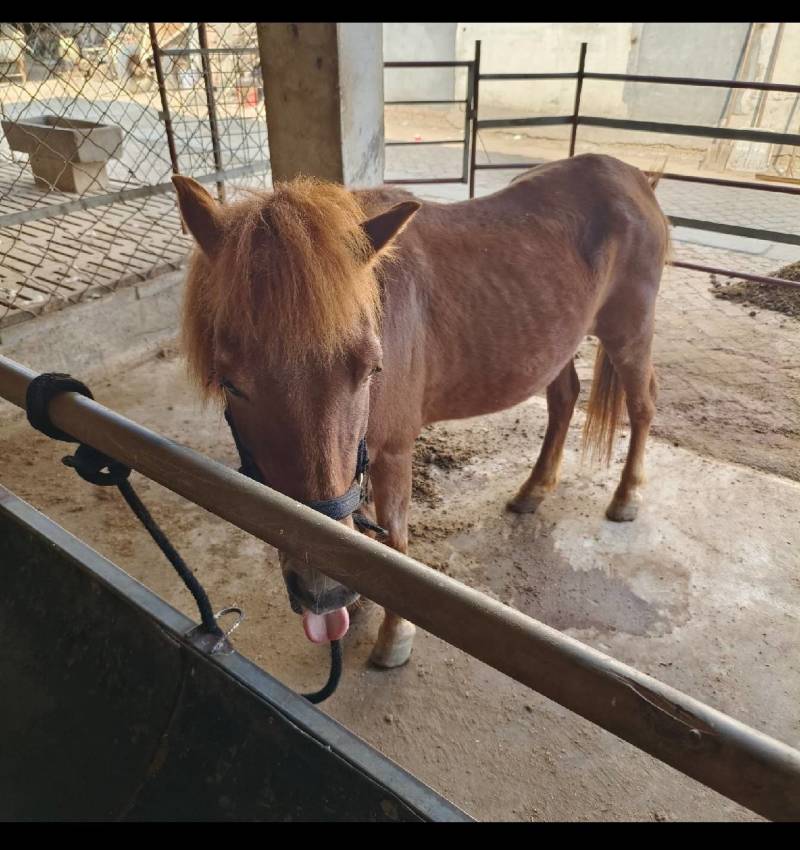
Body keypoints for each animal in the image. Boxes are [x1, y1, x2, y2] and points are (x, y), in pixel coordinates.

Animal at [173, 152, 671, 669]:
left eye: (372, 369)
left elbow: (395, 540)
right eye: (230, 383)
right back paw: (533, 491)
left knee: (642, 404)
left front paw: (394, 636)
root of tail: (633, 176)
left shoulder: (393, 451)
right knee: (565, 399)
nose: (324, 592)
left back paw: (626, 497)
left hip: (630, 332)